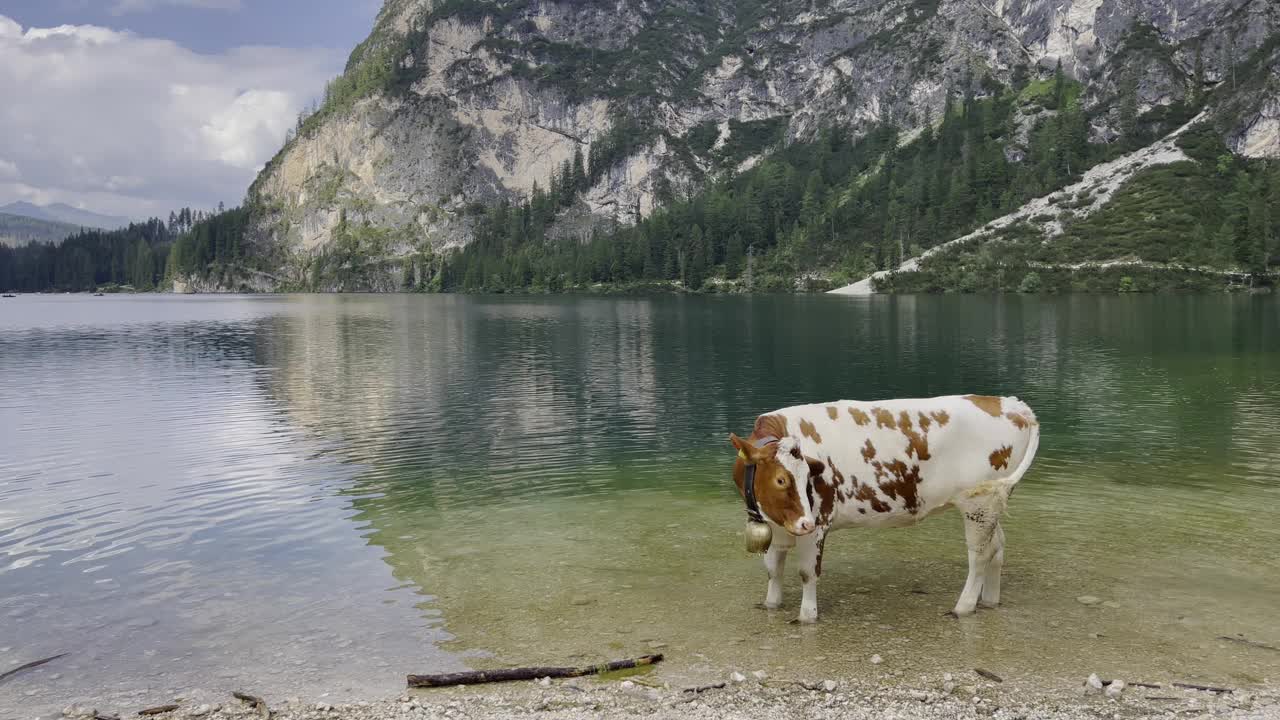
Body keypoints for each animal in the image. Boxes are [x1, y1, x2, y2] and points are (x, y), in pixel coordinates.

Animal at [732, 394, 1039, 620]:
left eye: (808, 478)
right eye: (781, 479)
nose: (804, 523)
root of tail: (1010, 403)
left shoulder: (818, 521)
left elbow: (807, 572)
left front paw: (807, 617)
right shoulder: (778, 526)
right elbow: (773, 568)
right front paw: (771, 605)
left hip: (978, 503)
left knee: (980, 554)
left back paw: (963, 607)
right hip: (992, 504)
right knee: (997, 545)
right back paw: (989, 600)